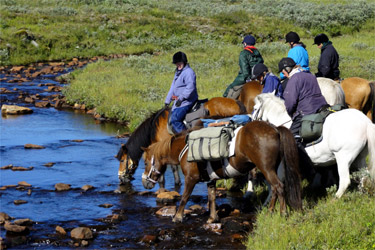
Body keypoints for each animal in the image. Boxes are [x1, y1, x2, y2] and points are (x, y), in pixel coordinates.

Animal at [142, 121, 304, 223]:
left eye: (145, 162)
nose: (144, 182)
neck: (185, 148)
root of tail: (275, 129)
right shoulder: (211, 179)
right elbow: (212, 198)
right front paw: (213, 218)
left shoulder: (190, 178)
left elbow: (184, 197)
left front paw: (178, 217)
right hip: (271, 169)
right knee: (275, 189)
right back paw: (270, 211)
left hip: (266, 169)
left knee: (279, 187)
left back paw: (282, 213)